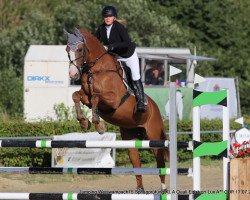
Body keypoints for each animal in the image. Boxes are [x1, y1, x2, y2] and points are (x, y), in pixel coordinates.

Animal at [63, 27, 169, 191]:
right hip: (130, 136)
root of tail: (155, 107)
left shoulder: (113, 100)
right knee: (136, 160)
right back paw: (140, 190)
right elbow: (76, 96)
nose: (73, 74)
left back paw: (164, 189)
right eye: (67, 49)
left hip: (154, 136)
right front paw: (84, 122)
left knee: (160, 161)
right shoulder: (85, 96)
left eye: (80, 49)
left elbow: (96, 98)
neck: (97, 69)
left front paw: (98, 125)